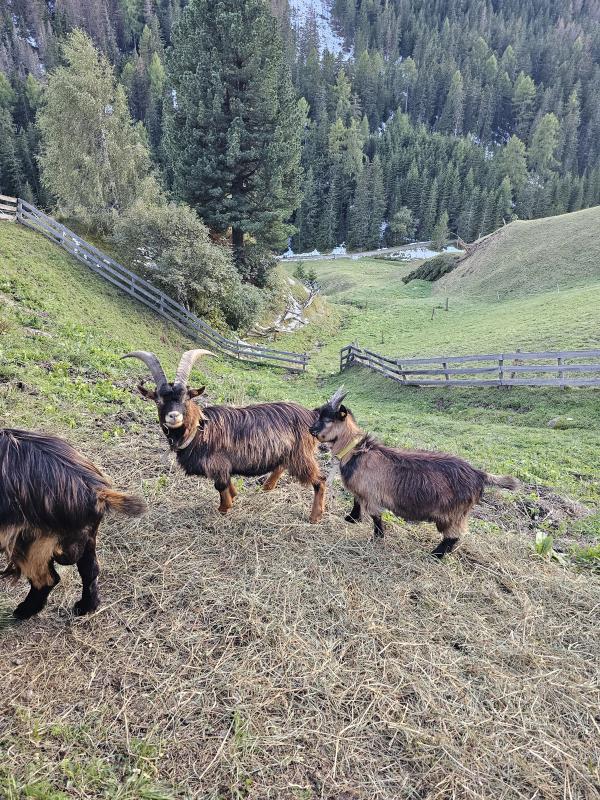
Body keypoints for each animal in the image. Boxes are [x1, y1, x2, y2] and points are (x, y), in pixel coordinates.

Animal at [0, 432, 145, 620]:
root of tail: (94, 490)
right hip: (85, 537)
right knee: (89, 570)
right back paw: (85, 607)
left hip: (29, 541)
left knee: (47, 579)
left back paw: (24, 611)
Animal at [123, 348, 326, 520]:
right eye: (158, 400)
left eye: (186, 398)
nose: (174, 416)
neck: (200, 431)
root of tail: (311, 414)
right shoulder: (224, 466)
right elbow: (228, 483)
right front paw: (233, 495)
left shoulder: (218, 463)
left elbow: (220, 485)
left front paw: (224, 507)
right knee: (282, 465)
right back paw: (268, 486)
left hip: (301, 455)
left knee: (320, 480)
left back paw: (315, 516)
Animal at [312, 390, 516, 556]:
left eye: (327, 419)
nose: (310, 429)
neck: (358, 451)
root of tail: (478, 474)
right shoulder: (361, 492)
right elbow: (356, 502)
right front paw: (351, 519)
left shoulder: (372, 495)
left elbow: (376, 517)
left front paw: (377, 537)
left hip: (453, 514)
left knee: (453, 536)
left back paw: (435, 555)